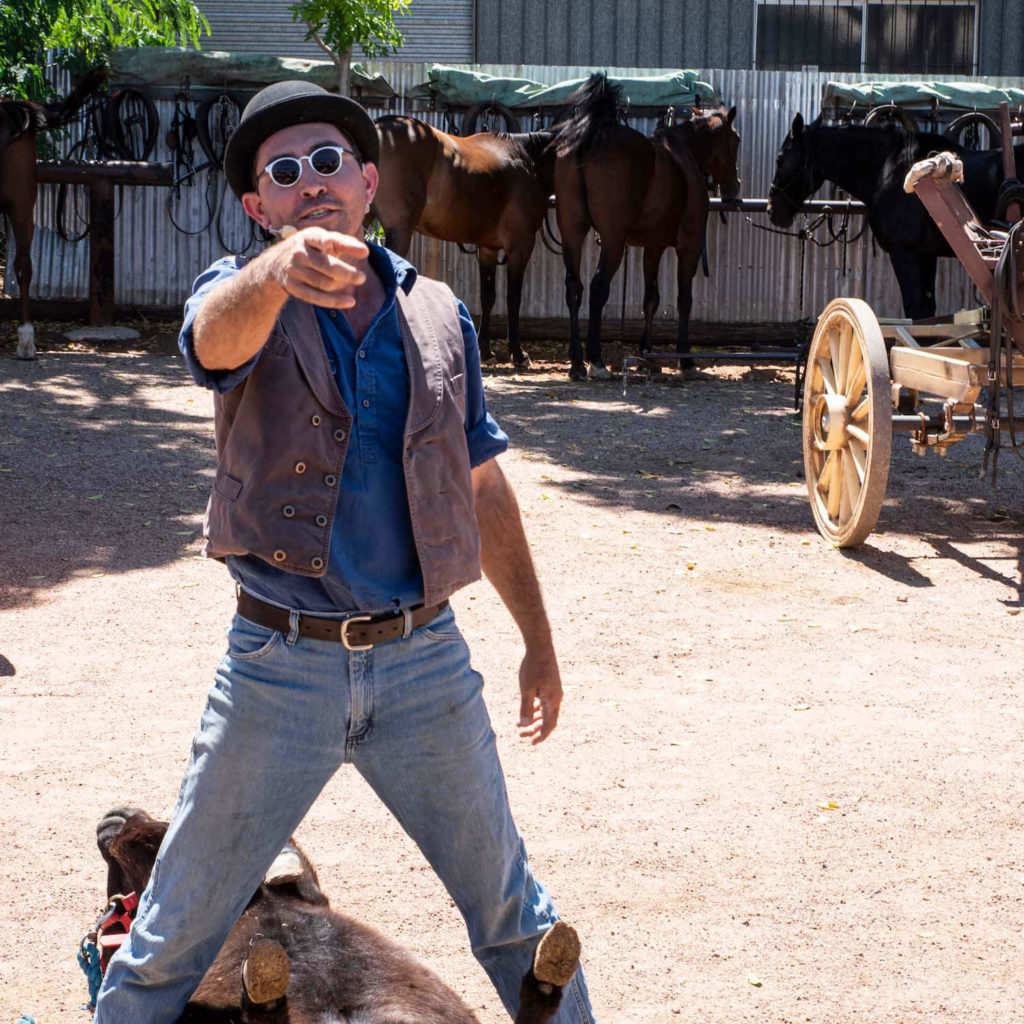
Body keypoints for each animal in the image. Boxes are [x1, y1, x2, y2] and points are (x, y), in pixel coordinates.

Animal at [372, 115, 557, 368]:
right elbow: (513, 297)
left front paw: (484, 349)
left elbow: (488, 296)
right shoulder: (521, 246)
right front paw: (518, 353)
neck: (527, 160)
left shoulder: (488, 249)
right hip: (398, 232)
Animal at [552, 73, 737, 380]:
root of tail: (591, 138)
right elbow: (684, 299)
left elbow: (651, 298)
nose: (734, 189)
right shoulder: (689, 246)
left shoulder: (653, 246)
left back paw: (577, 362)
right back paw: (595, 360)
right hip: (613, 242)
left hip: (572, 233)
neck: (684, 155)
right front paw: (685, 359)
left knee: (573, 288)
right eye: (736, 141)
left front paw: (647, 353)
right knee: (598, 288)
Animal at [770, 114, 1024, 319]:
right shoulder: (926, 255)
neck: (889, 171)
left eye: (780, 158)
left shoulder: (905, 253)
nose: (773, 210)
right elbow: (926, 311)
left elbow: (915, 310)